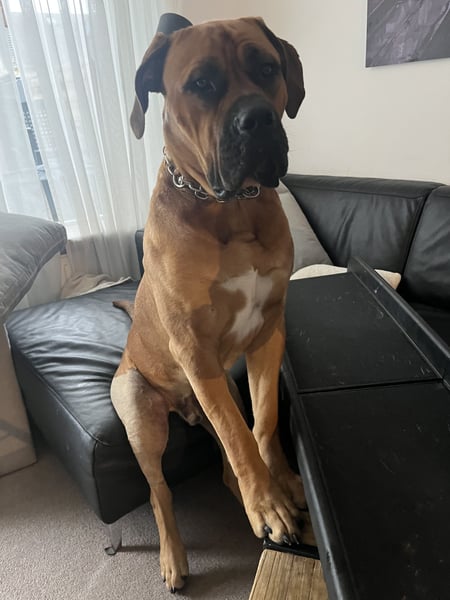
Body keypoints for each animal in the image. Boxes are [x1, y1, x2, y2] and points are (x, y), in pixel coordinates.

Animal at [111, 14, 306, 593]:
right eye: (200, 84)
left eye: (267, 69)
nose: (257, 119)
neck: (232, 210)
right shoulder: (195, 351)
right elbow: (241, 441)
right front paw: (267, 502)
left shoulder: (267, 334)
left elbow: (261, 423)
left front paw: (280, 484)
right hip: (140, 411)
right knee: (160, 492)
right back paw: (174, 556)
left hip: (217, 392)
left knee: (224, 456)